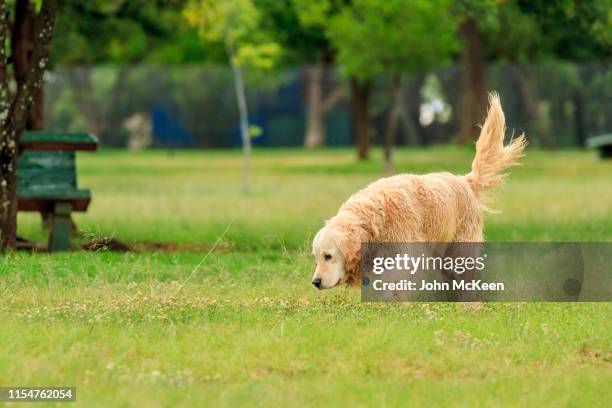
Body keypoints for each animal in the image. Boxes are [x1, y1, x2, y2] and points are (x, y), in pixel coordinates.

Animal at [310, 93, 524, 288]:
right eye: (317, 258)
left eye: (328, 256)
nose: (315, 282)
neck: (375, 219)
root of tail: (465, 181)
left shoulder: (406, 253)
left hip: (460, 251)